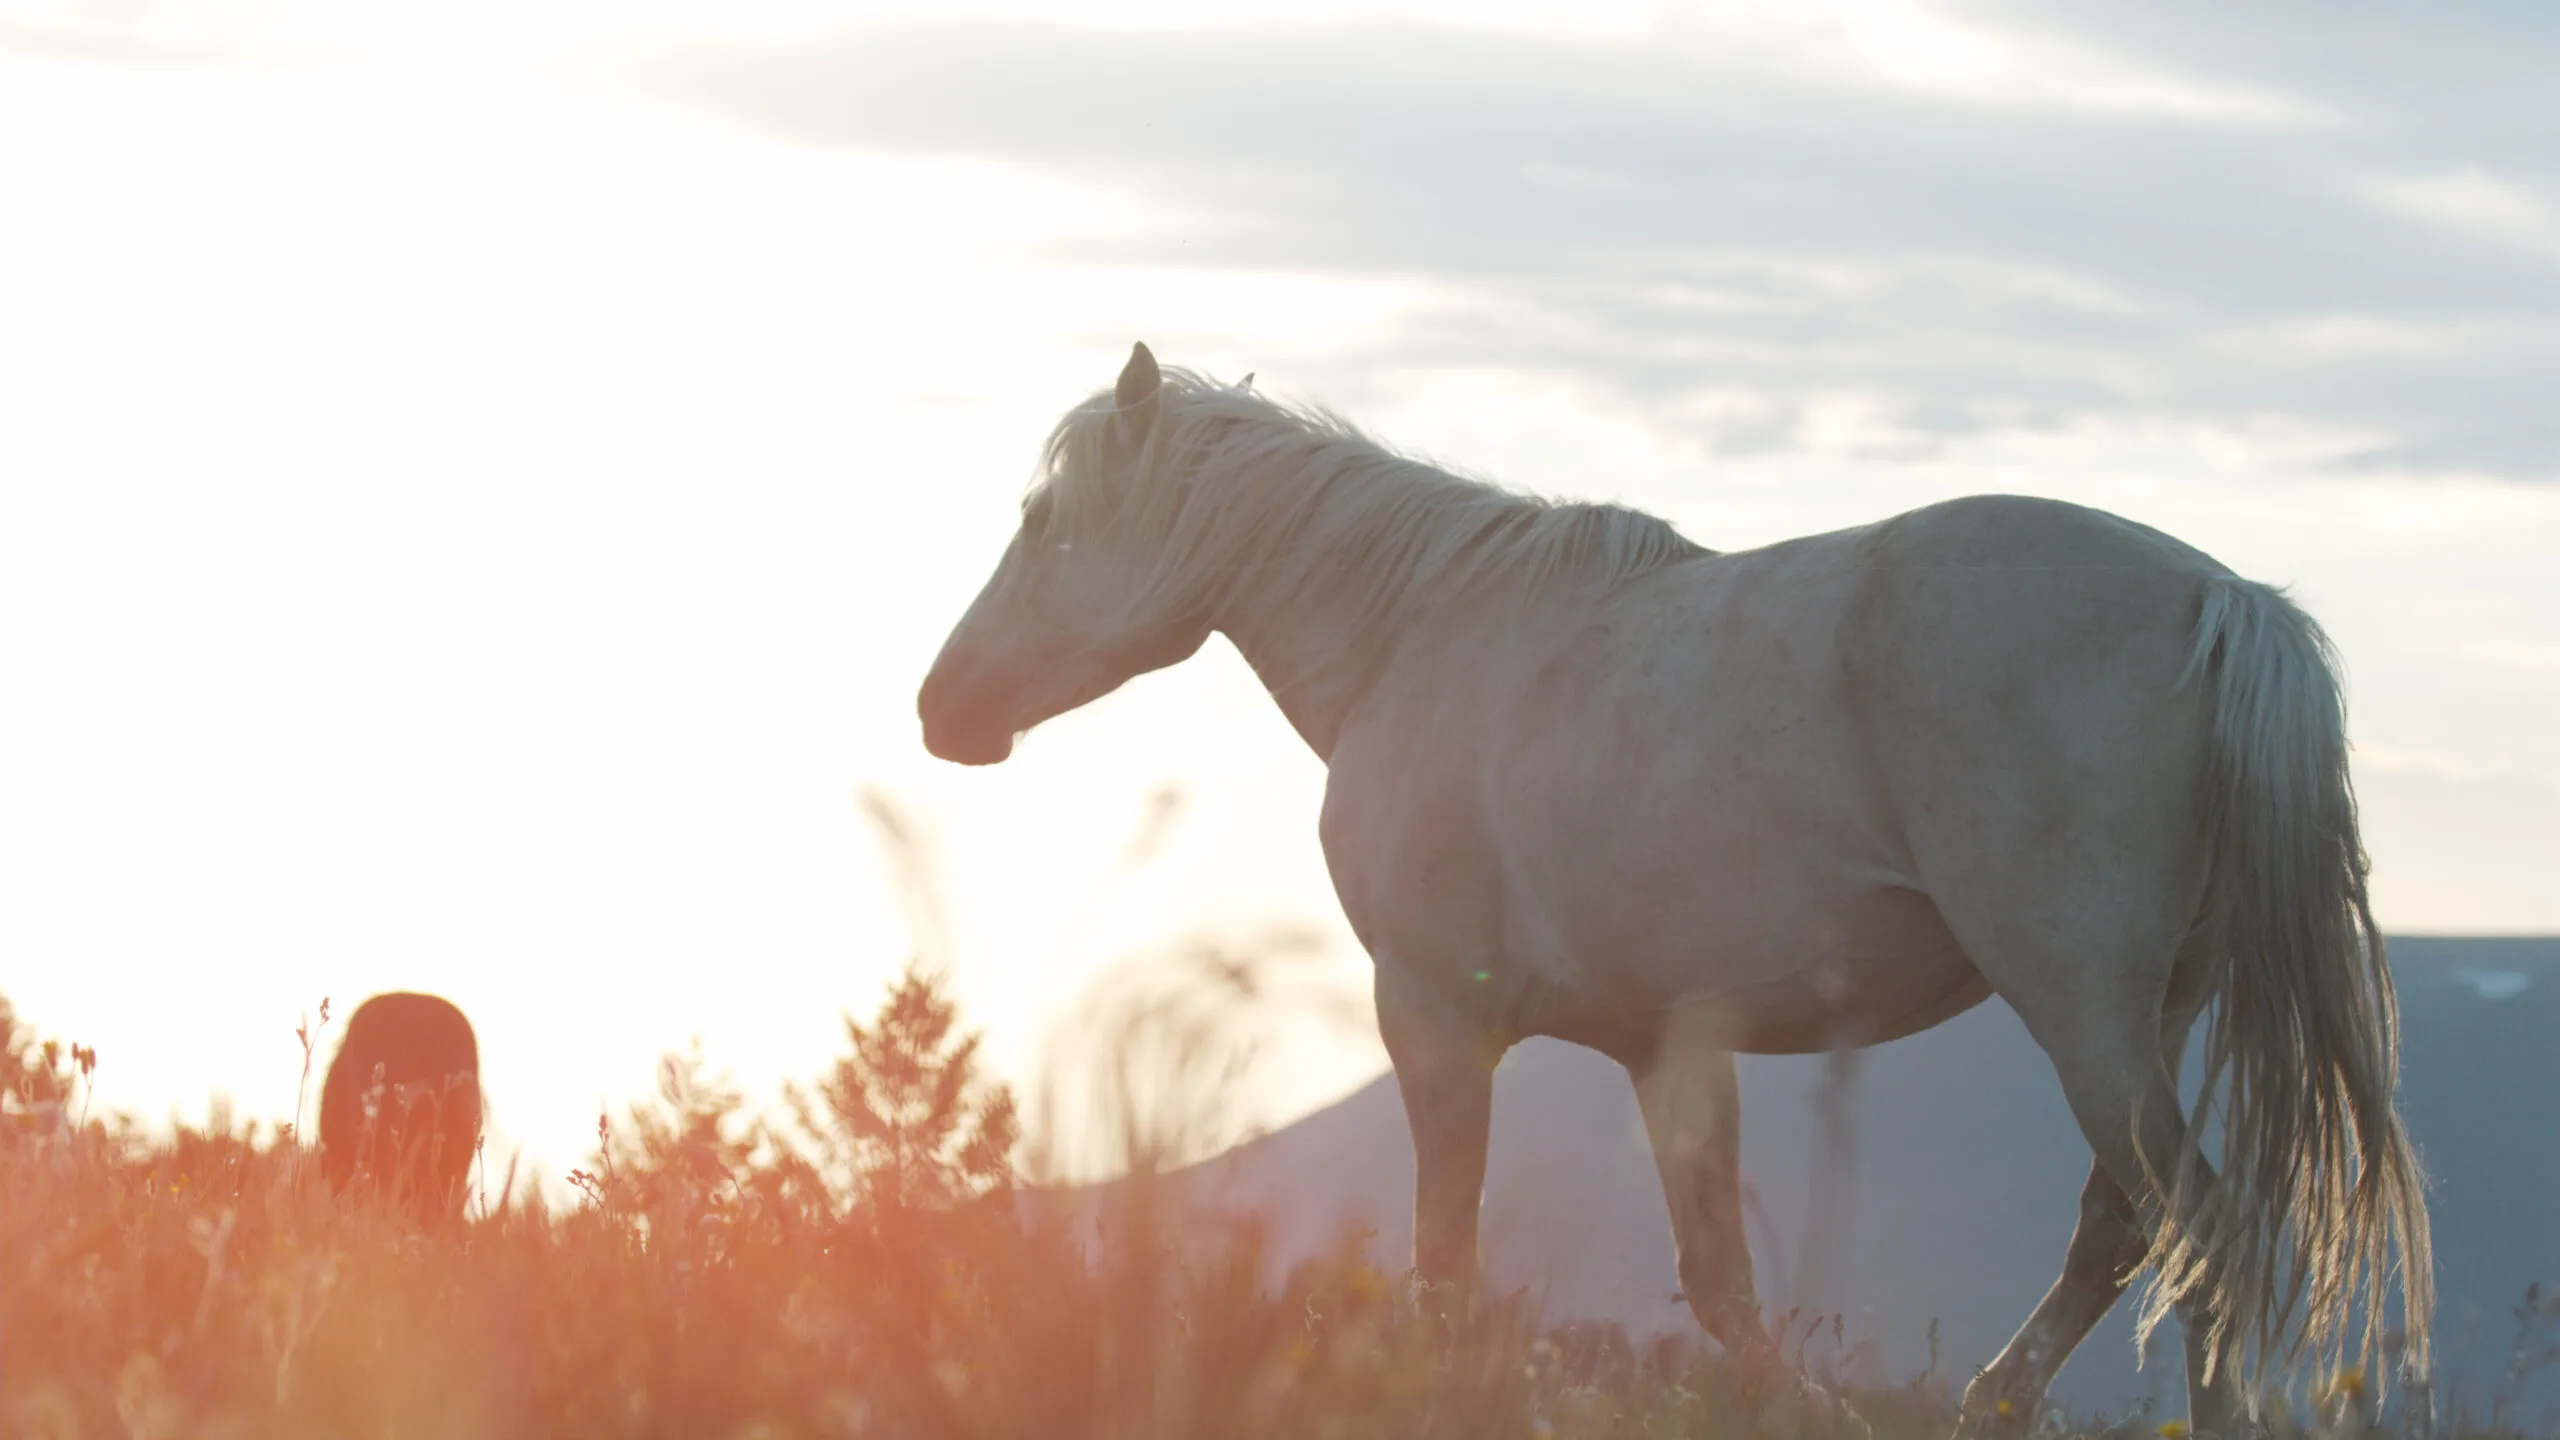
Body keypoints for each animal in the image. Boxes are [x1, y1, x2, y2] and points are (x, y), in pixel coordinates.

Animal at [911, 345, 2426, 1424]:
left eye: (1045, 521)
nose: (943, 708)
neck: (1424, 636)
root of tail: (2224, 600)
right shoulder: (1668, 1050)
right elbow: (1722, 1289)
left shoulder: (1434, 1022)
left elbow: (1448, 1267)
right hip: (2149, 1015)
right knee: (2124, 1233)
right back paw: (1993, 1401)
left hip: (2084, 1011)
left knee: (2202, 1231)